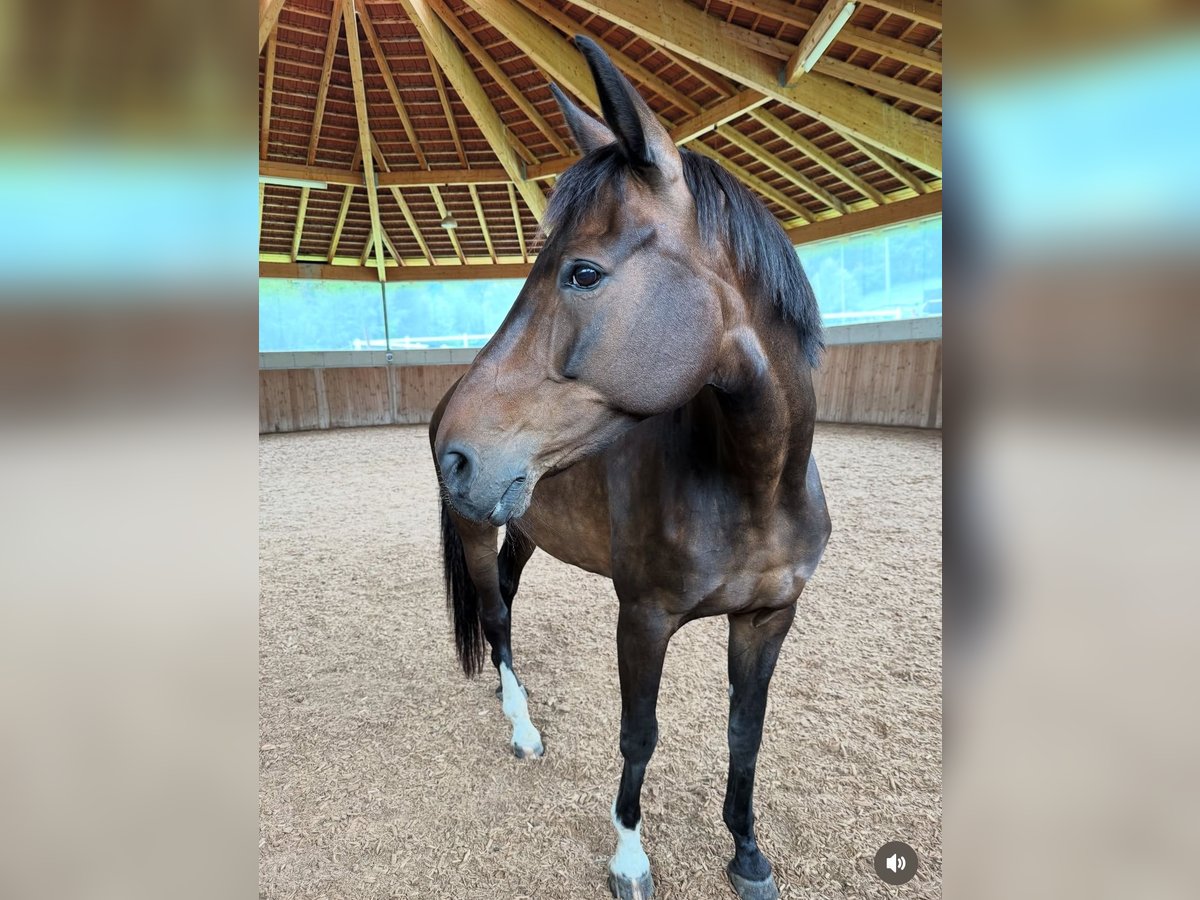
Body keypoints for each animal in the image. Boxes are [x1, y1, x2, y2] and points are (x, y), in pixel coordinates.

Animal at [429, 36, 831, 900]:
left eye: (583, 272)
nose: (460, 455)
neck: (754, 488)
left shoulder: (768, 619)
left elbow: (745, 733)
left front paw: (747, 853)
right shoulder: (643, 617)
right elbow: (639, 734)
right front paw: (629, 859)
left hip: (523, 527)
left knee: (505, 599)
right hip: (478, 530)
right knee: (496, 615)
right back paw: (522, 729)